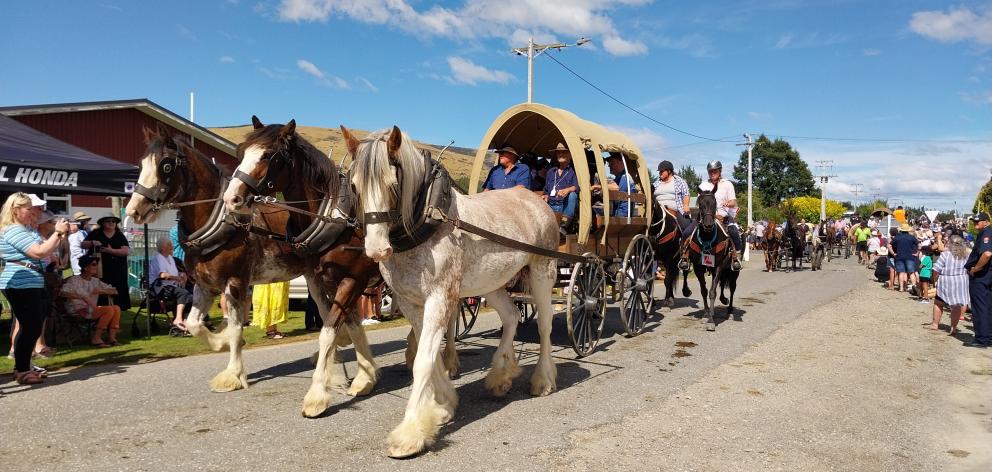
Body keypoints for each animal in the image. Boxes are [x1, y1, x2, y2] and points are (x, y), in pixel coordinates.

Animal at [127, 124, 380, 416]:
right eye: (141, 164)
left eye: (166, 166)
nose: (133, 210)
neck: (220, 220)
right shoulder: (204, 284)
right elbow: (193, 324)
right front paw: (221, 342)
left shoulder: (236, 281)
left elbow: (236, 326)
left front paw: (233, 374)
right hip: (315, 278)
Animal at [342, 125, 560, 458]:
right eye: (354, 186)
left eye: (392, 184)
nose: (377, 249)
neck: (426, 220)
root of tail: (533, 199)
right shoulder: (409, 302)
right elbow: (427, 353)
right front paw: (443, 404)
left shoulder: (439, 297)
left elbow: (423, 359)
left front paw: (410, 432)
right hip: (491, 282)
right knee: (511, 317)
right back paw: (501, 374)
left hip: (542, 271)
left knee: (546, 325)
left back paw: (543, 380)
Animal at [680, 186, 736, 330]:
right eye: (700, 204)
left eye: (715, 203)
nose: (708, 225)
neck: (707, 238)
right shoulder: (698, 267)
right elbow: (704, 291)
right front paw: (706, 314)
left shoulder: (718, 266)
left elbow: (712, 292)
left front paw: (711, 321)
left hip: (732, 271)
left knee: (732, 288)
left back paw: (730, 311)